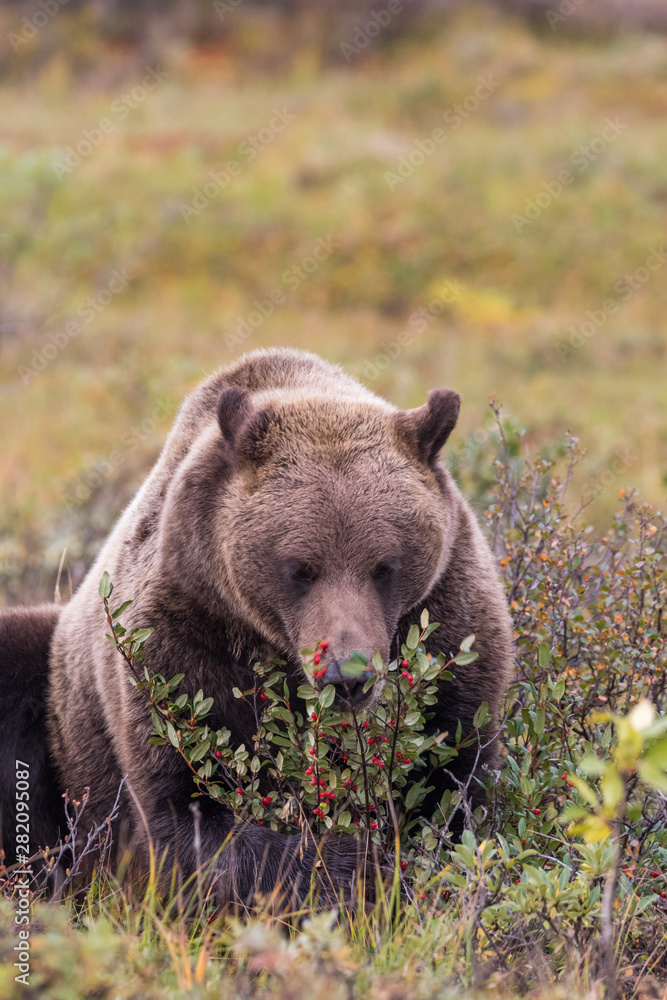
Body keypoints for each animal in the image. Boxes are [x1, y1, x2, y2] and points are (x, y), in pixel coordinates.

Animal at [43, 347, 513, 904]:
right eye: (300, 568)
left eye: (386, 566)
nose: (347, 677)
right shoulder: (177, 645)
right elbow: (187, 815)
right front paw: (354, 866)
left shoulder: (450, 625)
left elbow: (453, 779)